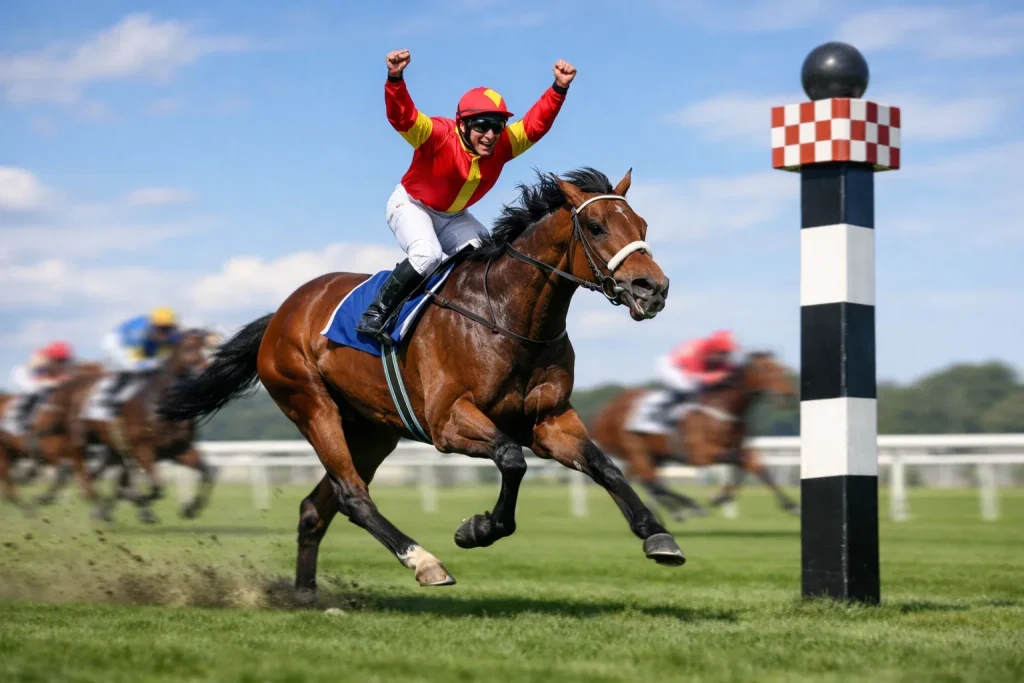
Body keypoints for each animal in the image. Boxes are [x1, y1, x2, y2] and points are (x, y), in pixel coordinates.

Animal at [34, 329, 218, 523]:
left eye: (215, 346)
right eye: (192, 347)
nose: (211, 373)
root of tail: (70, 386)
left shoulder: (178, 448)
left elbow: (208, 473)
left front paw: (191, 507)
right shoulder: (142, 448)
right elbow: (156, 486)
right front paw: (142, 503)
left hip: (109, 445)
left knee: (91, 475)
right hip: (79, 440)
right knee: (81, 472)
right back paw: (95, 502)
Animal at [161, 167, 688, 591]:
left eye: (641, 225)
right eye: (596, 227)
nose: (653, 288)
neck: (505, 316)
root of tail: (282, 314)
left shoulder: (549, 420)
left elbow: (605, 466)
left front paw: (659, 535)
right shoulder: (447, 422)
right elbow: (511, 459)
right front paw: (476, 529)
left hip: (370, 431)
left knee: (316, 507)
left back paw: (307, 597)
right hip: (311, 405)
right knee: (353, 496)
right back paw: (424, 562)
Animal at [589, 351, 801, 522]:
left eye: (783, 368)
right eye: (768, 369)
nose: (789, 394)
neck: (723, 410)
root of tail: (603, 413)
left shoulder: (738, 446)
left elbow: (757, 467)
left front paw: (791, 505)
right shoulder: (702, 454)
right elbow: (741, 460)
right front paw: (717, 497)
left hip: (654, 454)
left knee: (648, 481)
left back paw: (676, 512)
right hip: (636, 449)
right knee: (649, 481)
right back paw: (690, 507)